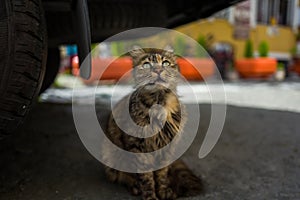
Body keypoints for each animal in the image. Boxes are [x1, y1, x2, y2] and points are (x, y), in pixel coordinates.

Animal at [102, 47, 203, 200]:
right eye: (147, 65)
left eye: (165, 63)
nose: (158, 70)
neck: (158, 102)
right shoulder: (138, 147)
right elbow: (146, 176)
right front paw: (150, 195)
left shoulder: (167, 147)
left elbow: (161, 174)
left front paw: (163, 191)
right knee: (120, 175)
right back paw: (134, 186)